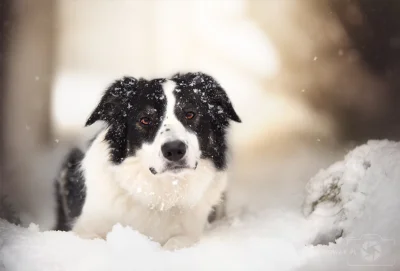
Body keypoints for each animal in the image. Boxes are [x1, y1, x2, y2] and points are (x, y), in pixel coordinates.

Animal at [55, 71, 242, 251]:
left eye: (190, 114)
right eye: (145, 119)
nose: (174, 150)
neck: (160, 196)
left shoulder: (190, 231)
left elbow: (176, 242)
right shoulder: (85, 229)